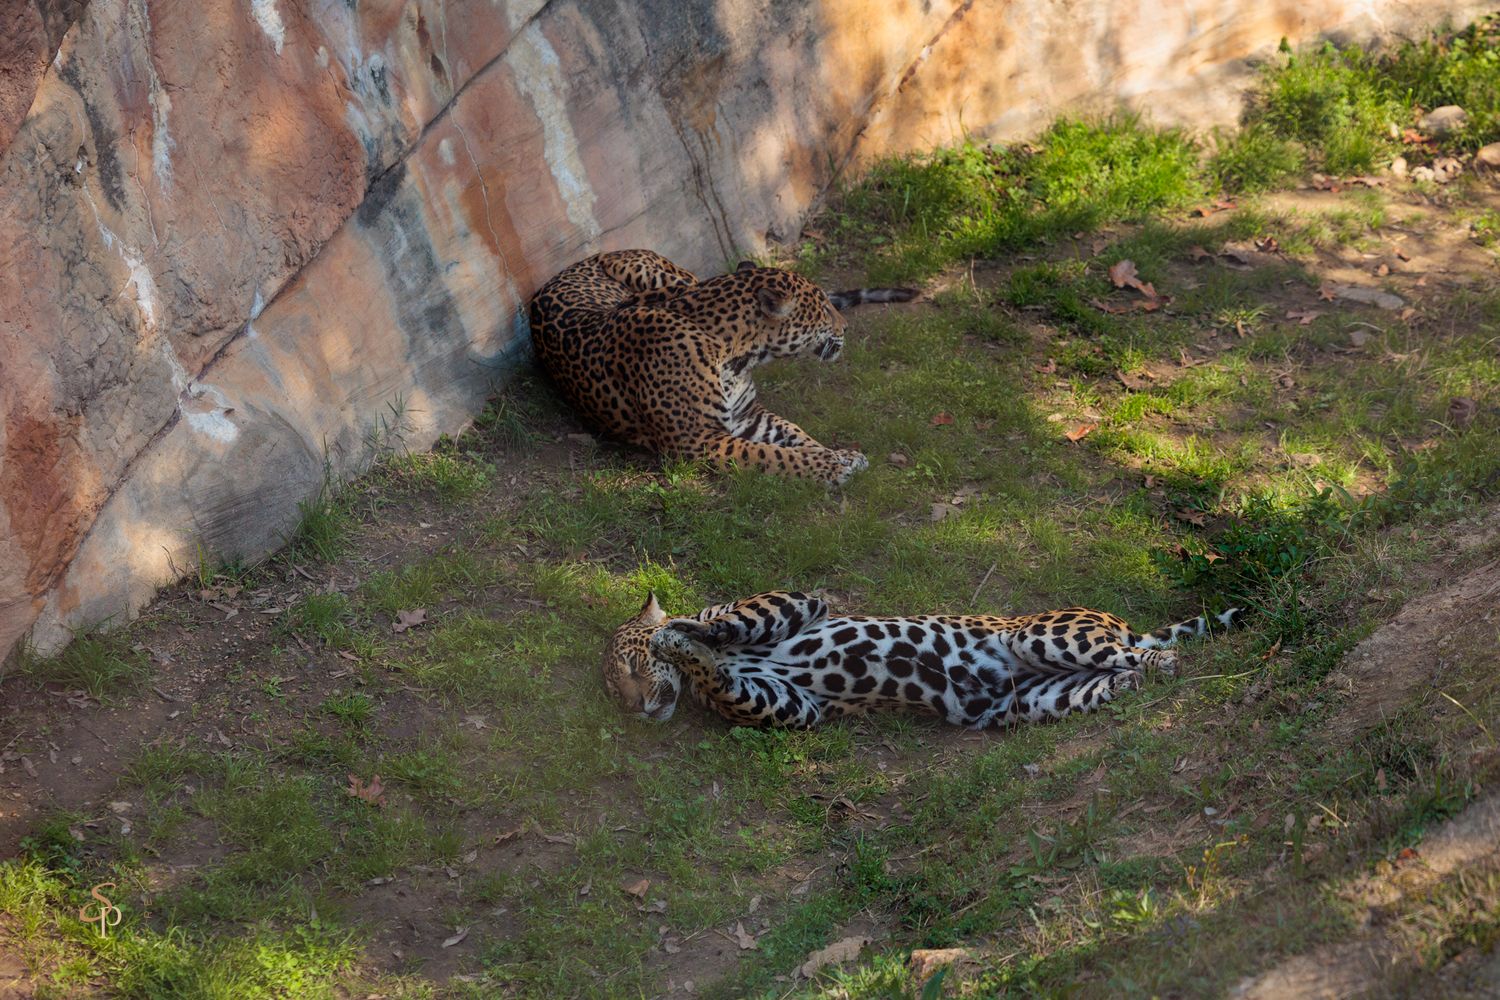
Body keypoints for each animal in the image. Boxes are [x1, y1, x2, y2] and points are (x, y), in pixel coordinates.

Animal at [528, 249, 913, 485]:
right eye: (821, 309)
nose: (845, 327)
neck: (737, 354)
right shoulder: (697, 440)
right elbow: (775, 456)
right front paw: (829, 466)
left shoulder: (748, 415)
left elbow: (796, 434)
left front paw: (839, 455)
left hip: (665, 275)